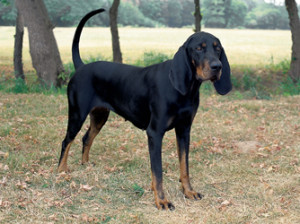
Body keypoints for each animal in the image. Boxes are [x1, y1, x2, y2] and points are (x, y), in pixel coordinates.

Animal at [58, 8, 232, 211]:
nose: (217, 66)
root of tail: (82, 66)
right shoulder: (155, 133)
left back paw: (85, 164)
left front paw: (188, 192)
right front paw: (162, 200)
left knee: (86, 137)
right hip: (77, 114)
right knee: (66, 141)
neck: (185, 90)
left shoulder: (184, 130)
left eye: (218, 48)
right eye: (199, 48)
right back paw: (61, 171)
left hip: (100, 115)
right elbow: (158, 172)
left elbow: (184, 166)